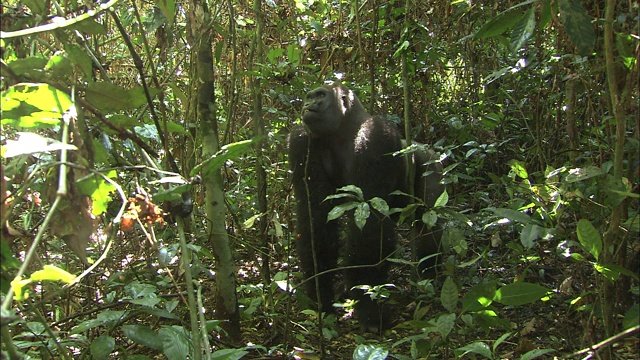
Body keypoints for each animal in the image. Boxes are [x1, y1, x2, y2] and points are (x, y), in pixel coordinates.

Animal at [288, 83, 442, 330]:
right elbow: (315, 218)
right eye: (308, 97)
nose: (307, 104)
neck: (343, 129)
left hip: (431, 162)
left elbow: (370, 224)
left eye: (320, 95)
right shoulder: (302, 141)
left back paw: (430, 275)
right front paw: (321, 292)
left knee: (430, 221)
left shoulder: (376, 135)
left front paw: (368, 306)